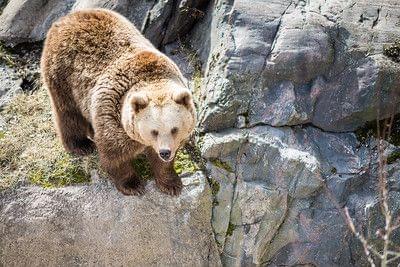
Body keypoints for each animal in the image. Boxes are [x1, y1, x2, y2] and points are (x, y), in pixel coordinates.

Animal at [41, 8, 197, 197]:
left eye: (174, 129)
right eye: (154, 131)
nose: (165, 152)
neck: (152, 77)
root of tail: (68, 17)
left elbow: (163, 163)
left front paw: (171, 184)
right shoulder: (112, 113)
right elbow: (114, 155)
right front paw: (132, 185)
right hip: (62, 73)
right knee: (67, 112)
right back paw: (81, 144)